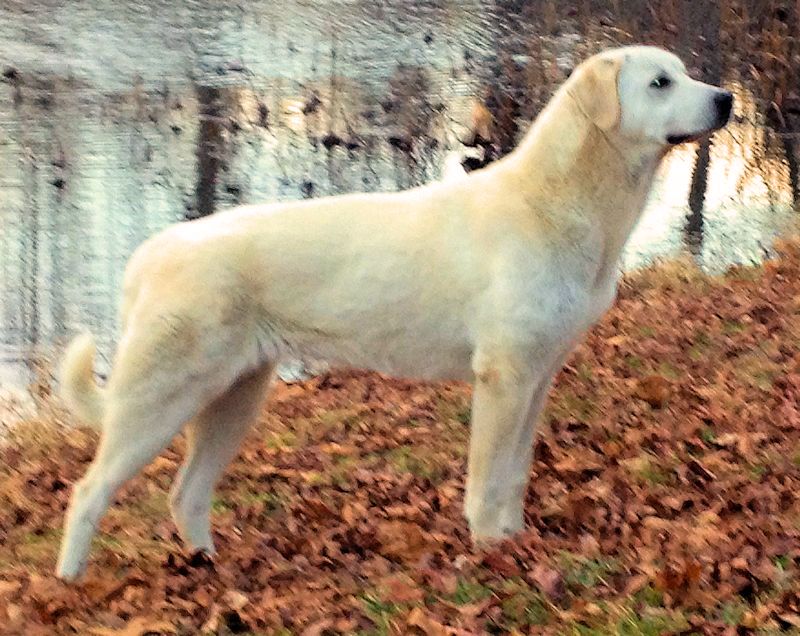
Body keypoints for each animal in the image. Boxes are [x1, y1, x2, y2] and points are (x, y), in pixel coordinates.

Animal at [54, 47, 732, 580]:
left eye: (683, 73)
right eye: (660, 83)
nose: (726, 98)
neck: (555, 203)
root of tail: (151, 252)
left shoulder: (537, 378)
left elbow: (515, 474)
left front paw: (514, 544)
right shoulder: (503, 379)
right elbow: (488, 481)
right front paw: (491, 553)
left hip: (235, 399)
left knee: (186, 496)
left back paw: (208, 567)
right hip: (161, 401)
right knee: (88, 493)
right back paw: (70, 584)